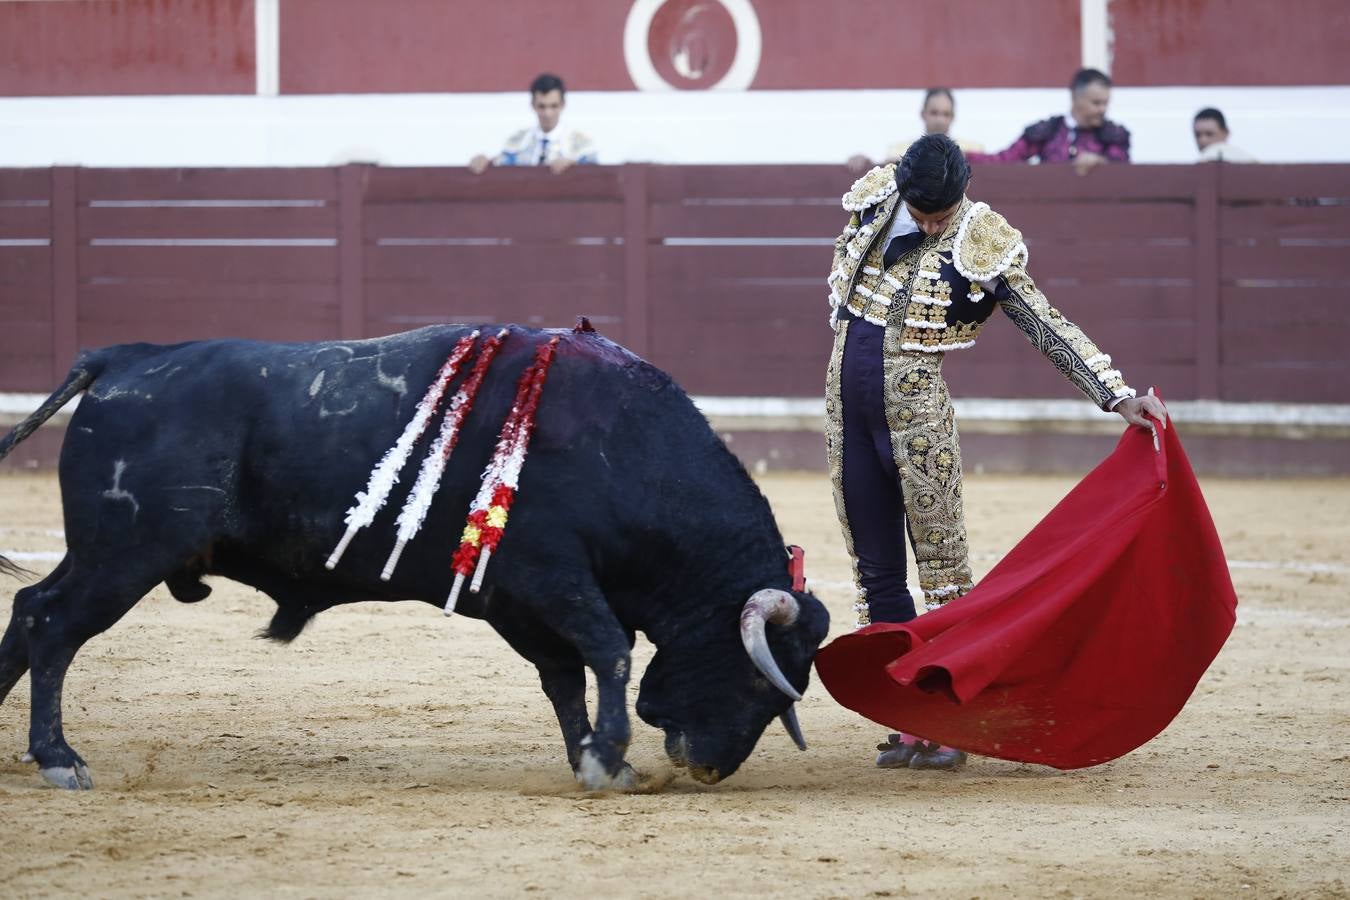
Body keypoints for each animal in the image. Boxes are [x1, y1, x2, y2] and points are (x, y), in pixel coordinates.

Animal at [0, 323, 831, 788]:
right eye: (759, 684)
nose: (709, 766)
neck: (622, 449)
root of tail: (123, 358)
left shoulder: (517, 602)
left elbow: (565, 676)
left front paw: (598, 758)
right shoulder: (551, 578)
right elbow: (609, 650)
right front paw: (610, 753)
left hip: (108, 553)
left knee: (29, 609)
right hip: (126, 554)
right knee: (52, 625)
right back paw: (60, 758)